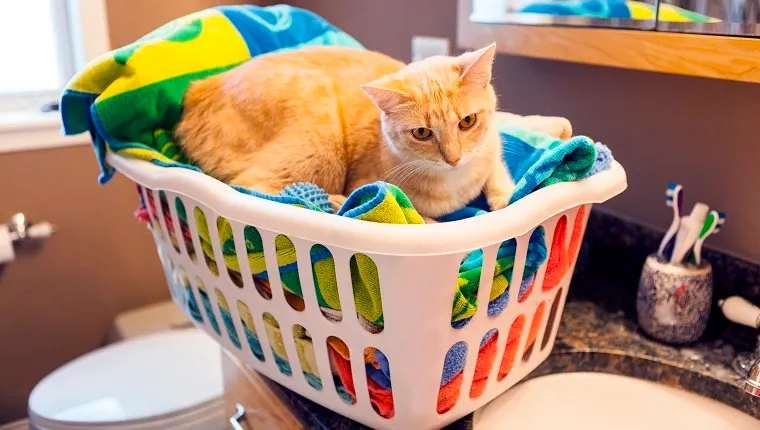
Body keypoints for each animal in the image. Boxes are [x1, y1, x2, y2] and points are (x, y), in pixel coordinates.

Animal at [175, 44, 568, 220]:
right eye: (422, 133)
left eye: (467, 122)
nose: (454, 158)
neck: (454, 182)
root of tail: (199, 90)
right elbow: (420, 218)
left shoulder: (491, 144)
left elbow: (496, 162)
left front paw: (503, 195)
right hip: (318, 130)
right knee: (258, 188)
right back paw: (332, 203)